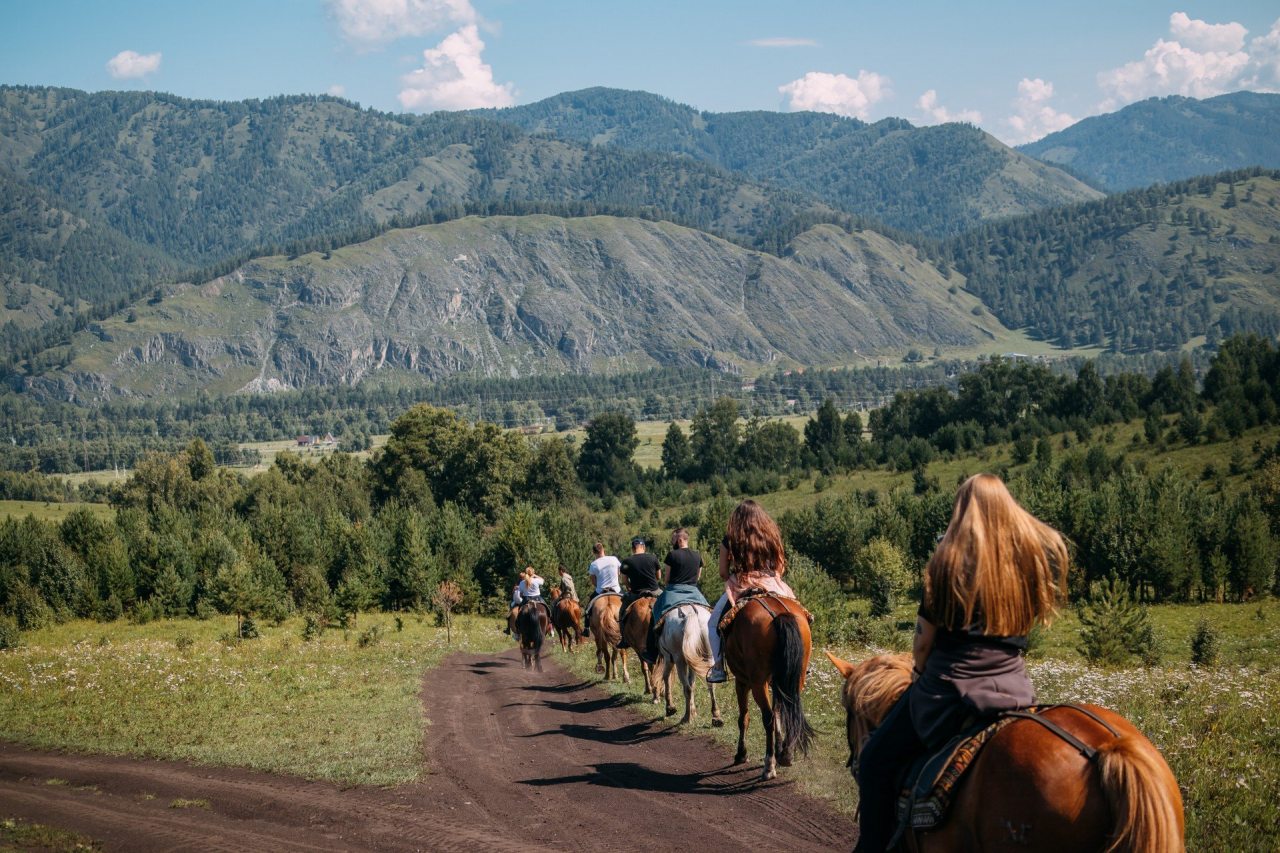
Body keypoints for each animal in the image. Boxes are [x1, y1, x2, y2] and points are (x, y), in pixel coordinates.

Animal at [727, 591, 814, 778]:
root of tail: (778, 614)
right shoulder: (776, 682)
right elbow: (779, 710)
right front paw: (780, 749)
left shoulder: (742, 681)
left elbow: (744, 718)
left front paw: (741, 754)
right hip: (795, 678)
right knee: (787, 711)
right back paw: (786, 755)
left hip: (758, 683)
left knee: (768, 718)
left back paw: (769, 765)